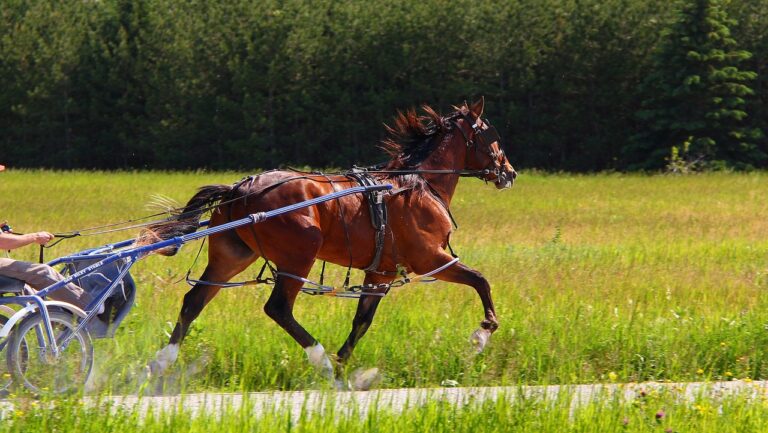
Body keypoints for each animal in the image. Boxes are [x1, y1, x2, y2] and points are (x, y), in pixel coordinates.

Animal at [144, 97, 516, 384]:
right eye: (491, 135)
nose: (509, 172)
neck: (418, 184)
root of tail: (239, 189)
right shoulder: (430, 259)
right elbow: (481, 281)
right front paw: (481, 334)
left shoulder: (381, 273)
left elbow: (362, 321)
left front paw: (341, 368)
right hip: (299, 256)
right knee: (278, 308)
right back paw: (319, 358)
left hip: (233, 255)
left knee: (194, 301)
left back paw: (160, 364)